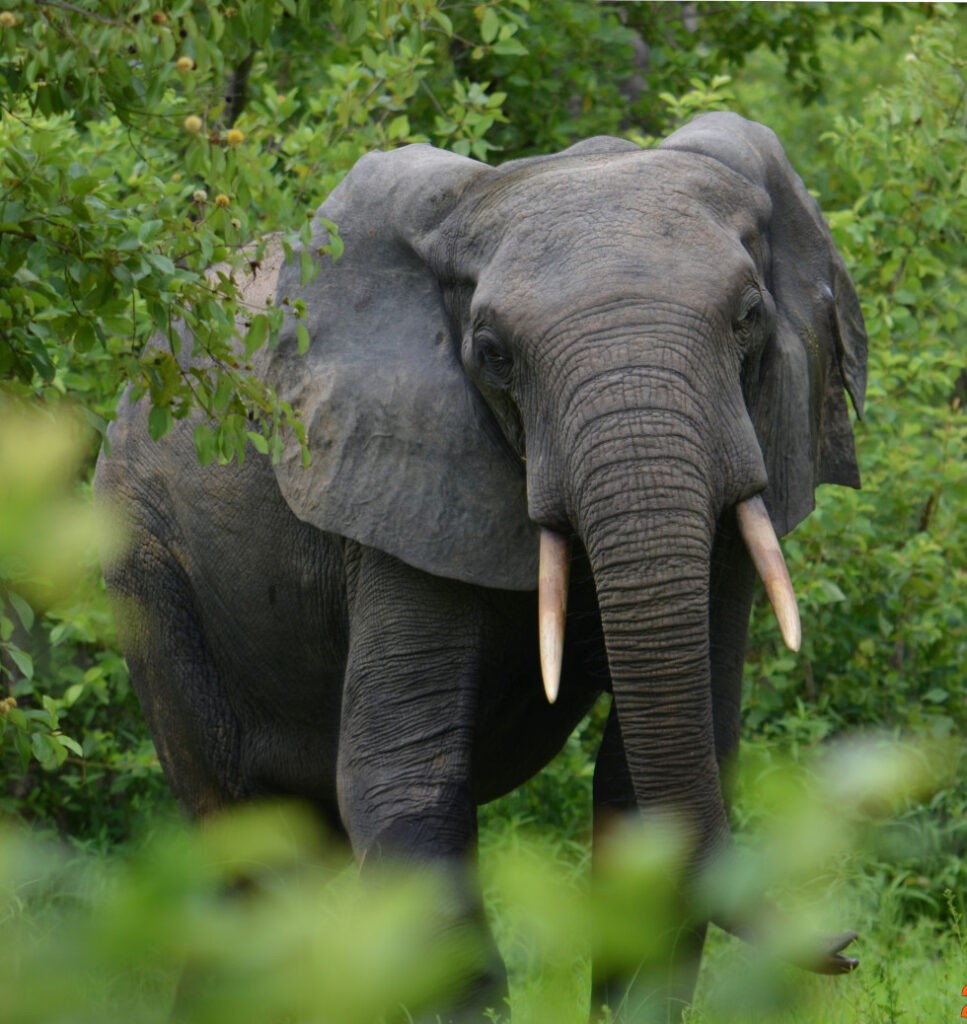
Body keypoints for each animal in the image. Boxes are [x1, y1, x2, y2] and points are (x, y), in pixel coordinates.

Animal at [95, 112, 866, 1020]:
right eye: (493, 353)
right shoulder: (397, 485)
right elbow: (407, 782)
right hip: (145, 562)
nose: (845, 947)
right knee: (242, 845)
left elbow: (660, 772)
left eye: (749, 316)